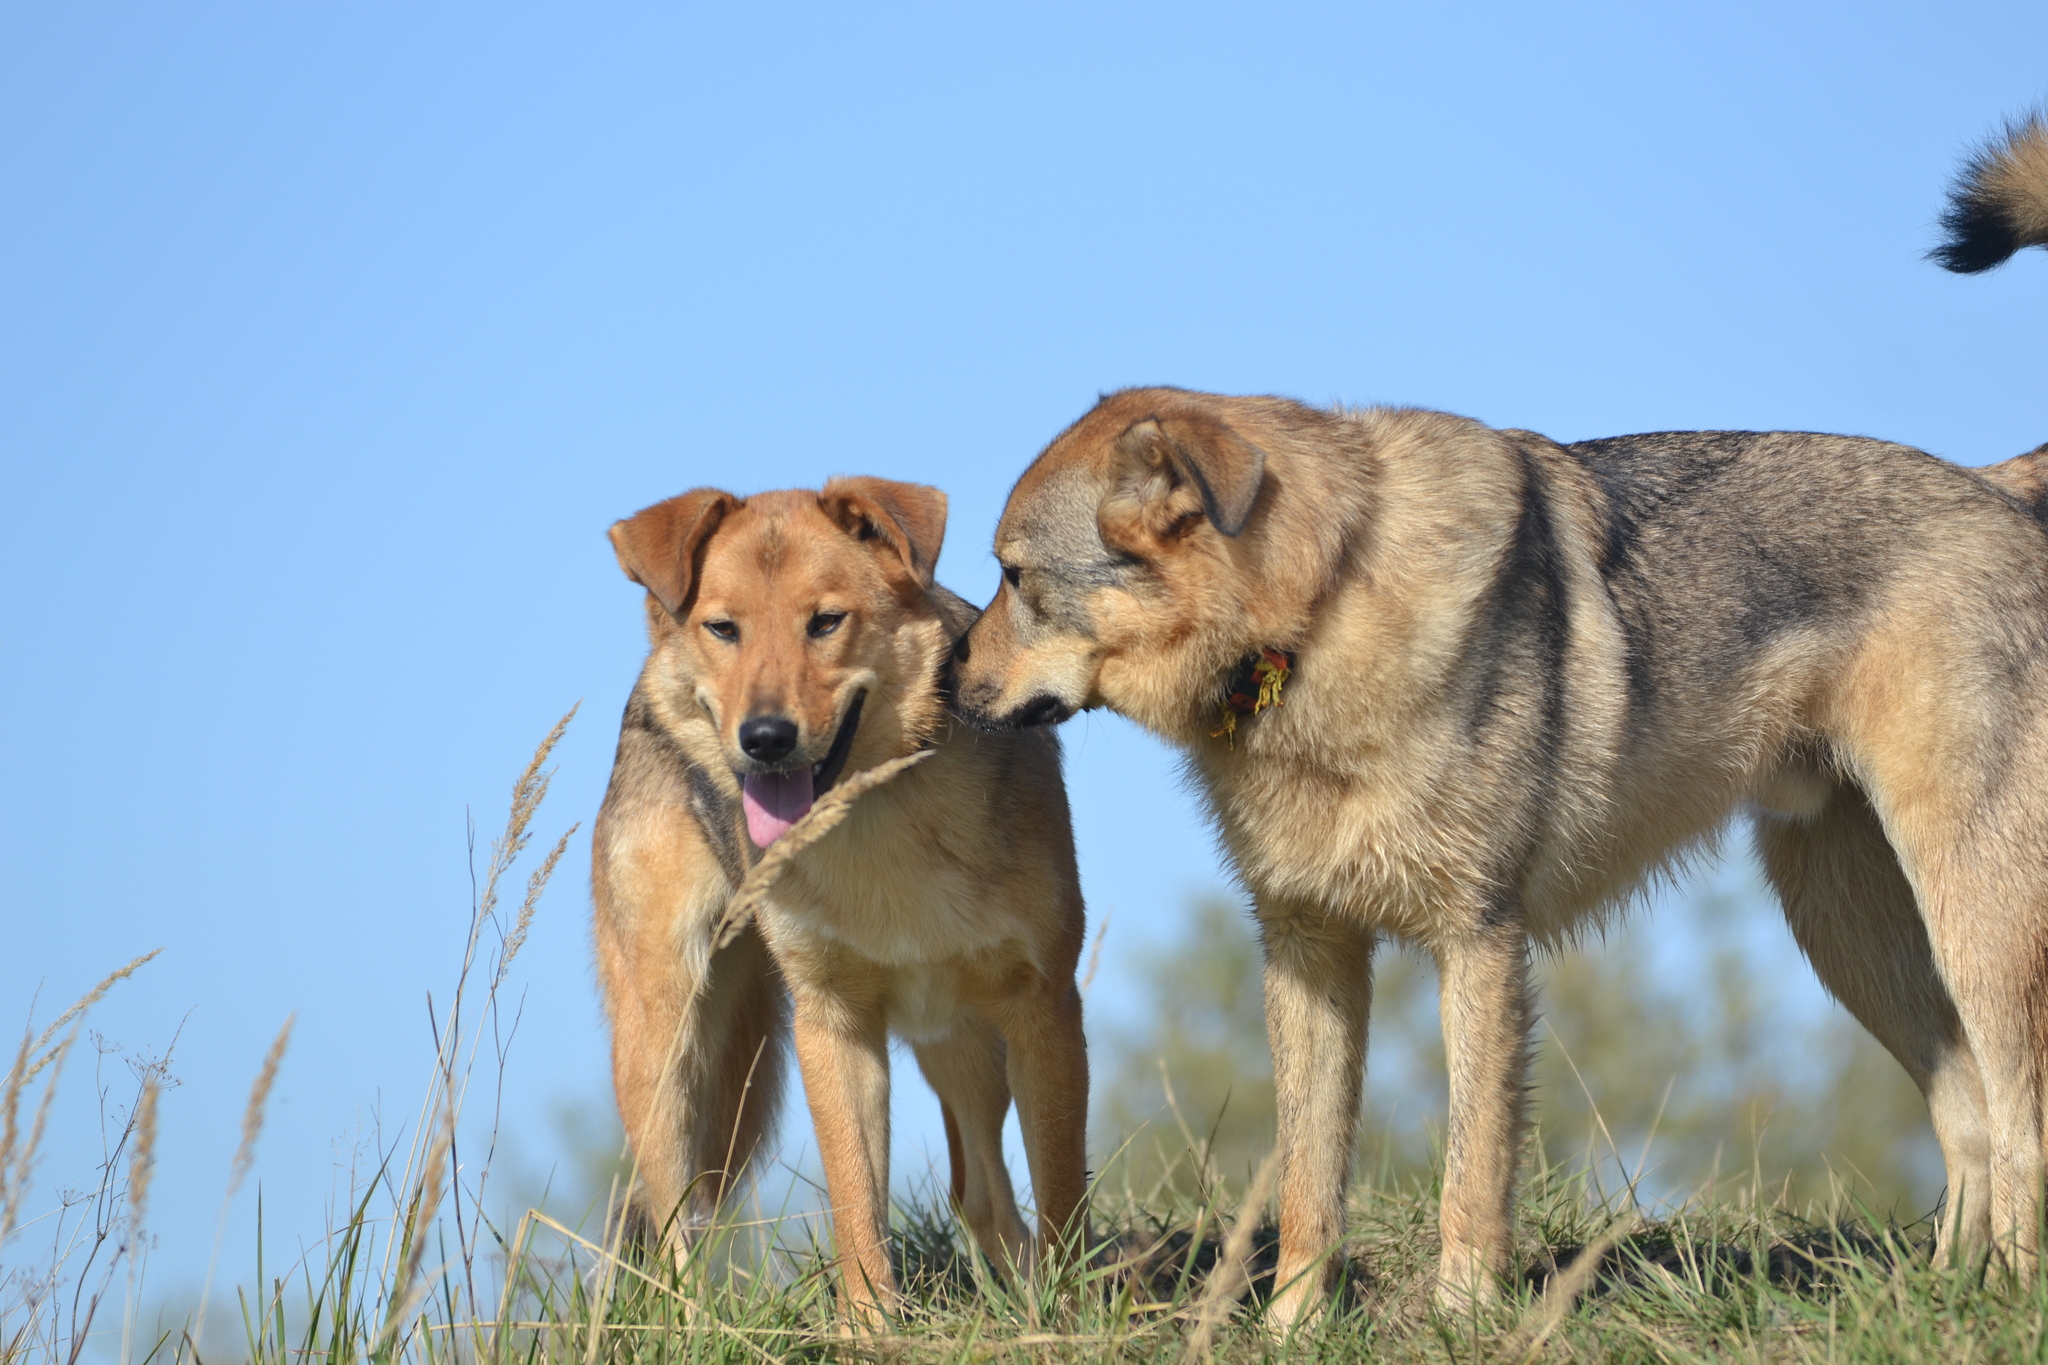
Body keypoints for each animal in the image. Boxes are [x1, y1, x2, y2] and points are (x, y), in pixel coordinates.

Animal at [598, 480, 1089, 1326]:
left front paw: (1069, 1314)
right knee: (673, 1223)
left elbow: (1059, 1190)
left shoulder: (1044, 1007)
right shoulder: (833, 1022)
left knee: (983, 1196)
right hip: (665, 1047)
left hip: (962, 1045)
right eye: (723, 628)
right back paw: (696, 1325)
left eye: (826, 622)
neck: (876, 815)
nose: (764, 737)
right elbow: (858, 1201)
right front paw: (870, 1325)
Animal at [950, 117, 2048, 1326]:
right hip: (1849, 922)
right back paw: (1952, 1297)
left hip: (1971, 916)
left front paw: (1463, 1315)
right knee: (1966, 1112)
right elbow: (1308, 1180)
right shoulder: (1308, 946)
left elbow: (1471, 1166)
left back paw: (2010, 1300)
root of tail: (1998, 486)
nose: (945, 674)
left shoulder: (1477, 940)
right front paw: (1291, 1326)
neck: (1320, 613)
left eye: (1012, 577)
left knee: (2019, 1117)